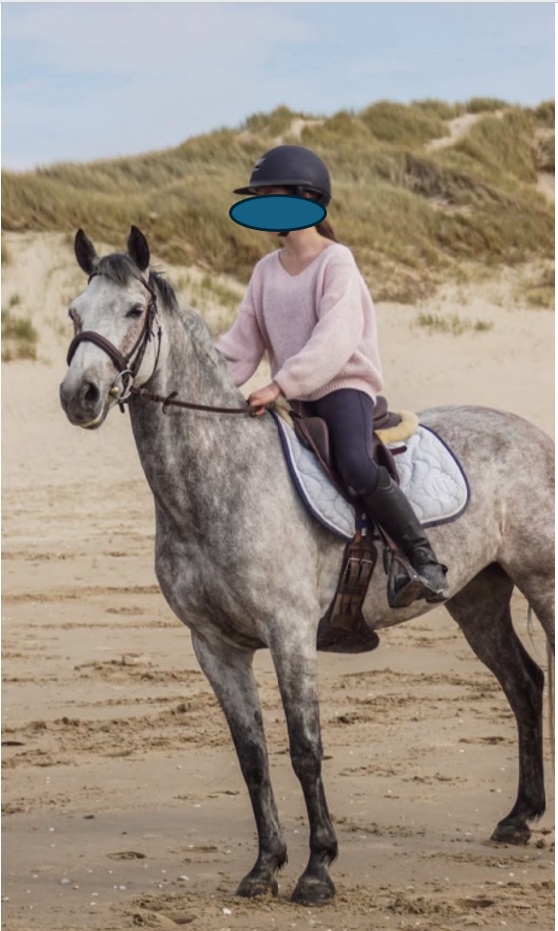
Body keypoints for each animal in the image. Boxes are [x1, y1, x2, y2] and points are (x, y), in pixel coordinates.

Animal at [60, 226, 554, 907]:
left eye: (135, 311)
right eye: (74, 313)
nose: (77, 395)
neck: (218, 482)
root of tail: (532, 433)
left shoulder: (291, 634)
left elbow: (305, 749)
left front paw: (318, 870)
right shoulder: (214, 646)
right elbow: (253, 756)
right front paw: (264, 867)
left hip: (543, 583)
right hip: (477, 598)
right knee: (523, 685)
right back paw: (517, 818)